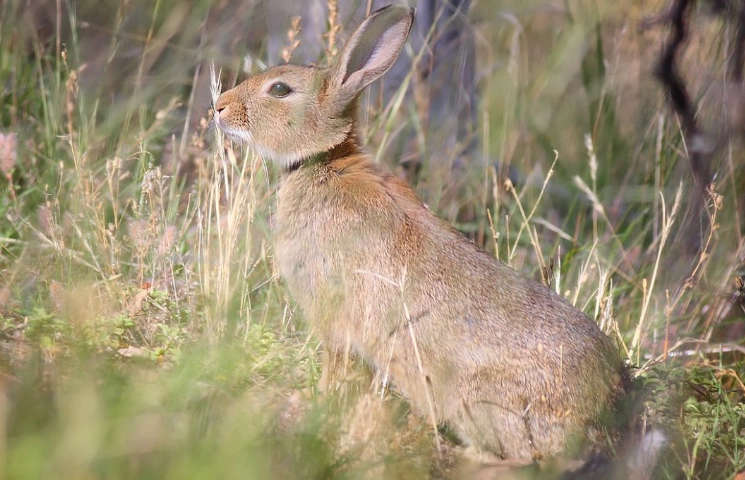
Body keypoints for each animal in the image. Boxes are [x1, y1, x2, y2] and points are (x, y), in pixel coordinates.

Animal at [214, 5, 630, 461]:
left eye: (280, 89)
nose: (219, 106)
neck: (324, 161)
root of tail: (603, 412)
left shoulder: (332, 314)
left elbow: (334, 365)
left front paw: (317, 405)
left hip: (477, 401)